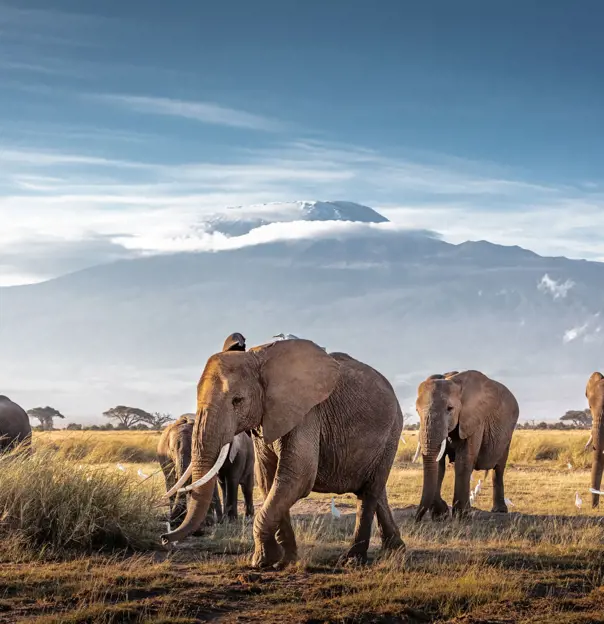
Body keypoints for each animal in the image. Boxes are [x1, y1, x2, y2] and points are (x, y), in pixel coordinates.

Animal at [160, 338, 406, 568]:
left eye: (237, 400)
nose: (164, 538)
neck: (258, 358)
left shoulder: (307, 413)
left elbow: (297, 477)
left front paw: (261, 562)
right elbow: (269, 479)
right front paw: (284, 560)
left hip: (392, 430)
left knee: (369, 492)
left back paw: (353, 561)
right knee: (375, 488)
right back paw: (395, 549)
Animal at [416, 370, 520, 520]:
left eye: (450, 408)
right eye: (417, 410)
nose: (417, 519)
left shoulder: (474, 420)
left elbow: (463, 460)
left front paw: (461, 515)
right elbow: (439, 465)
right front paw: (441, 514)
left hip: (508, 433)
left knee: (499, 469)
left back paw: (499, 511)